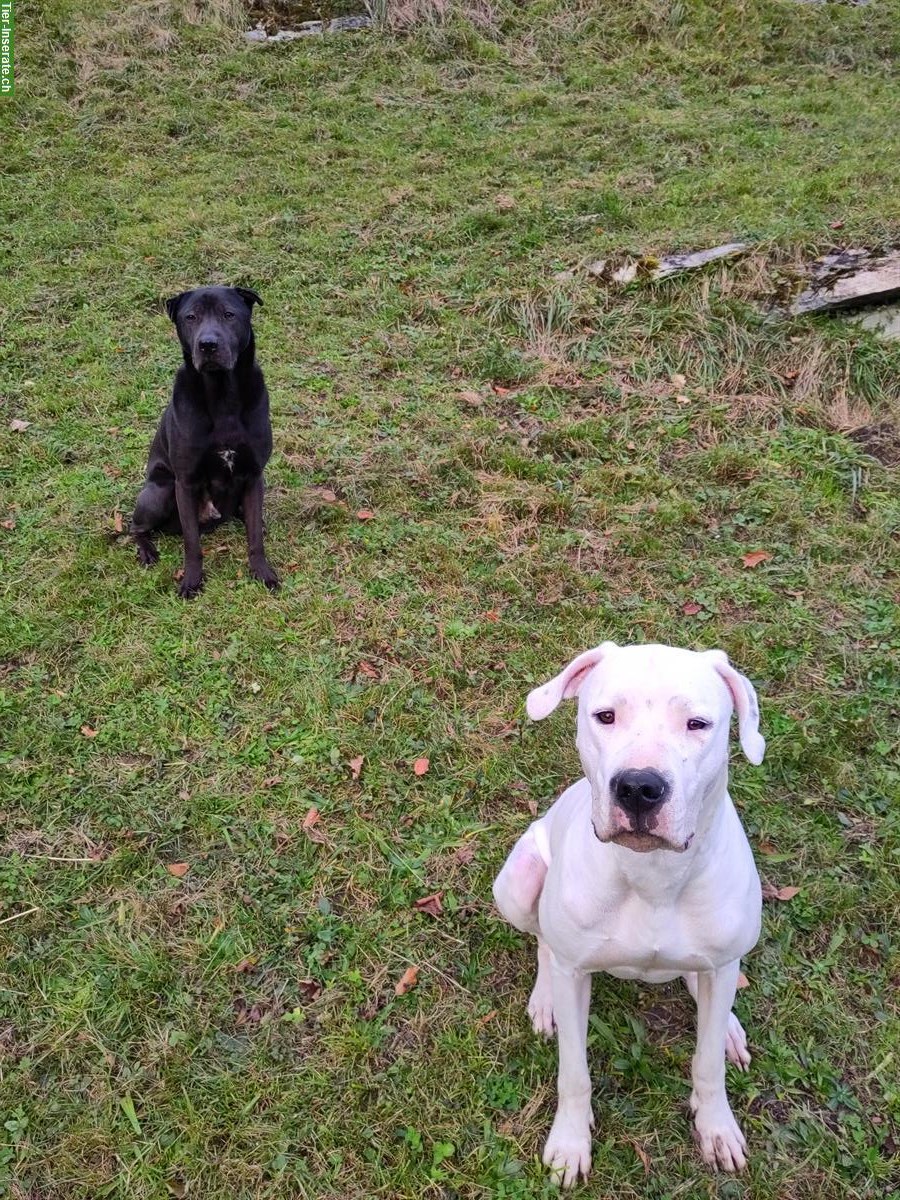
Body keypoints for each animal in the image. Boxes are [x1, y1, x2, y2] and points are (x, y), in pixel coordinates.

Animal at [131, 285, 278, 595]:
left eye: (229, 314)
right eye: (191, 317)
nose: (208, 345)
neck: (222, 393)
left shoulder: (254, 475)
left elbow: (255, 538)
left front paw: (262, 572)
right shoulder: (185, 482)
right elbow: (191, 543)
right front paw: (191, 581)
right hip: (159, 493)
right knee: (134, 527)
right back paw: (147, 550)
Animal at [494, 643, 768, 1185]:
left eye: (697, 723)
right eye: (605, 716)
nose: (639, 787)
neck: (654, 874)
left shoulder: (724, 961)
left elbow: (707, 1064)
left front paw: (717, 1127)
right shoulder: (574, 971)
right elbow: (574, 1073)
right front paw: (570, 1143)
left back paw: (726, 1026)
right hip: (516, 884)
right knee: (543, 943)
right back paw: (544, 999)